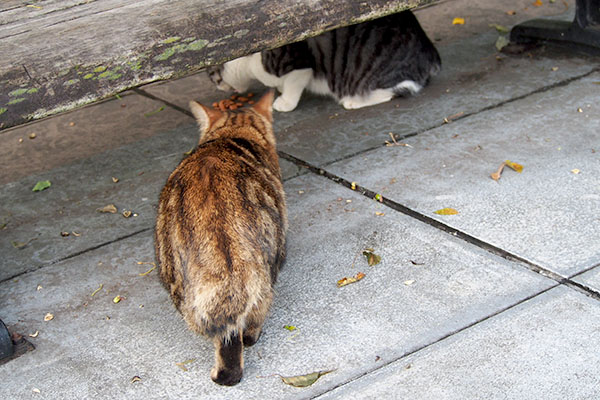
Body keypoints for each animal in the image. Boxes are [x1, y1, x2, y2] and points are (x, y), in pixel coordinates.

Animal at [210, 9, 440, 112]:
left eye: (213, 77)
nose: (219, 87)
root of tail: (429, 51)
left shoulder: (299, 64)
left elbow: (293, 85)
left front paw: (284, 101)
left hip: (373, 74)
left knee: (400, 89)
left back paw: (352, 101)